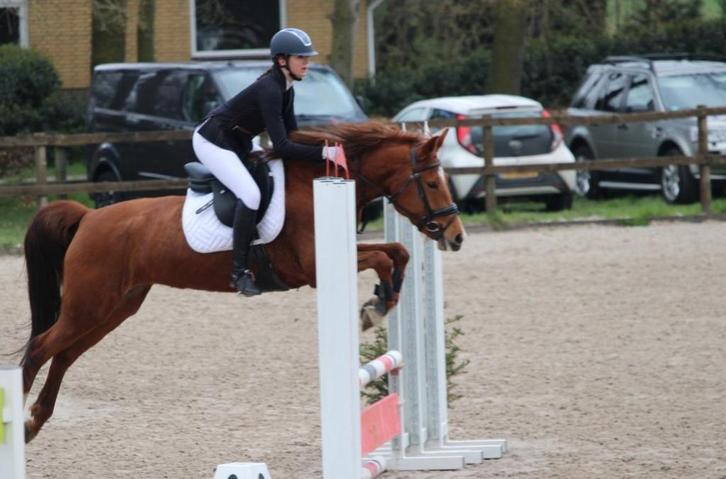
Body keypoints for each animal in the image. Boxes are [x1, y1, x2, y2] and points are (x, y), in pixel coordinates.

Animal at [19, 121, 465, 443]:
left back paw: (34, 422)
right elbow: (380, 256)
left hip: (115, 308)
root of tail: (88, 217)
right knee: (41, 348)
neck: (311, 187)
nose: (456, 236)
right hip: (90, 304)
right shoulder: (312, 268)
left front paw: (381, 299)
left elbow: (397, 251)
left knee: (64, 355)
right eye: (431, 183)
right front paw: (376, 305)